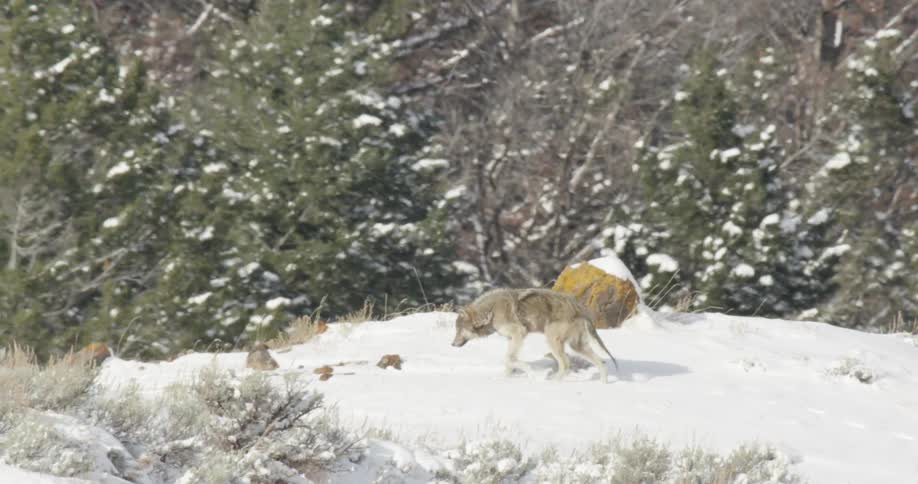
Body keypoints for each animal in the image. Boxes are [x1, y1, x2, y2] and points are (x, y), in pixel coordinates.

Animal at [451, 288, 618, 383]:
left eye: (459, 330)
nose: (452, 344)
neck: (491, 311)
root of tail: (579, 308)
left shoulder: (519, 333)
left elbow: (509, 359)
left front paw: (529, 371)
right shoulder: (511, 339)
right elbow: (509, 362)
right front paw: (506, 379)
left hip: (552, 340)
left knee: (566, 363)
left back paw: (551, 382)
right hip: (576, 346)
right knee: (600, 362)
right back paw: (603, 384)